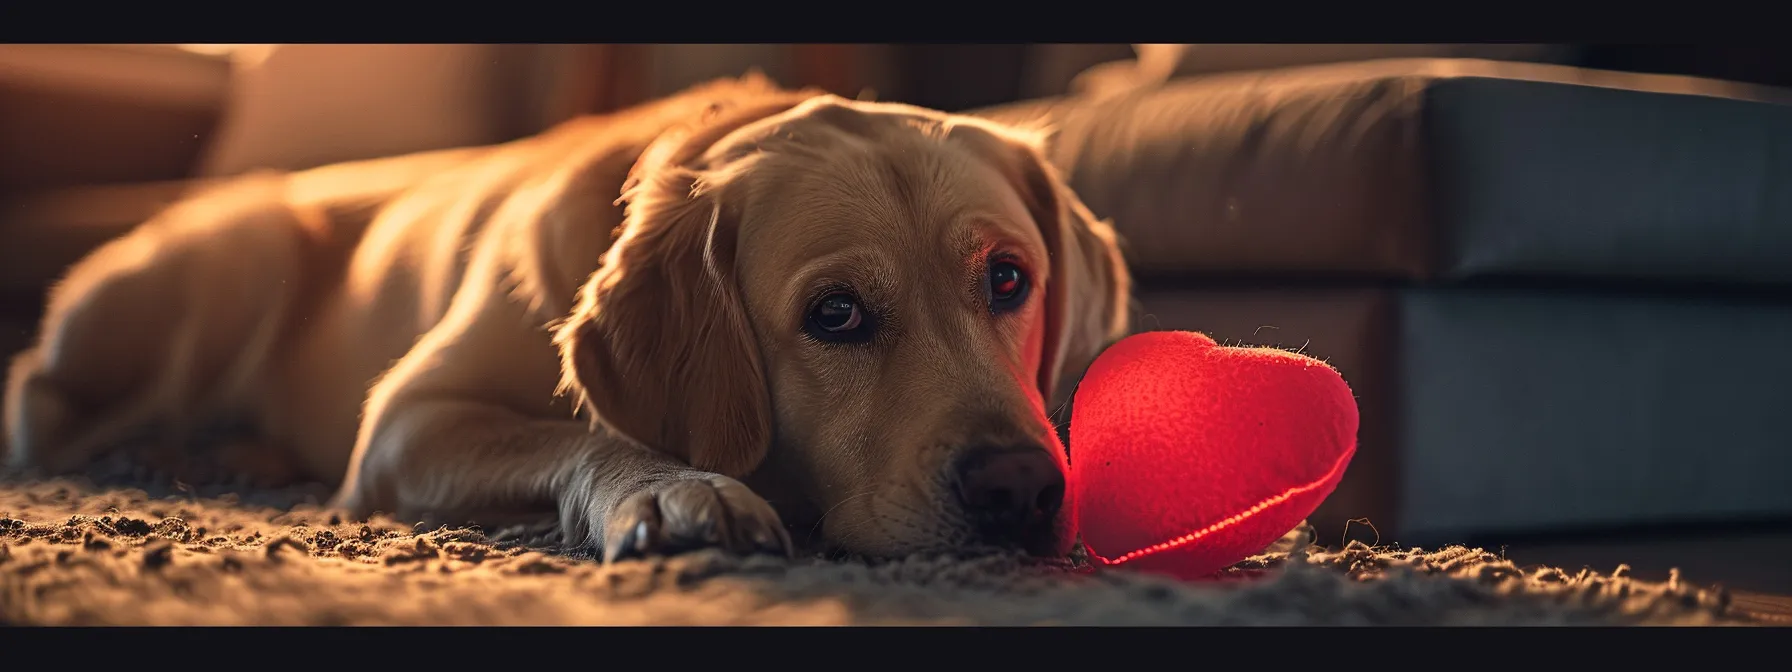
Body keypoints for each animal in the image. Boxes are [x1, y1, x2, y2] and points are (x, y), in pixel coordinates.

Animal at [0, 74, 1125, 562]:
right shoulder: (408, 420)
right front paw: (677, 489)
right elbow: (584, 432)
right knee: (46, 407)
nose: (1022, 487)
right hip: (236, 256)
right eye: (835, 313)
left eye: (1009, 280)